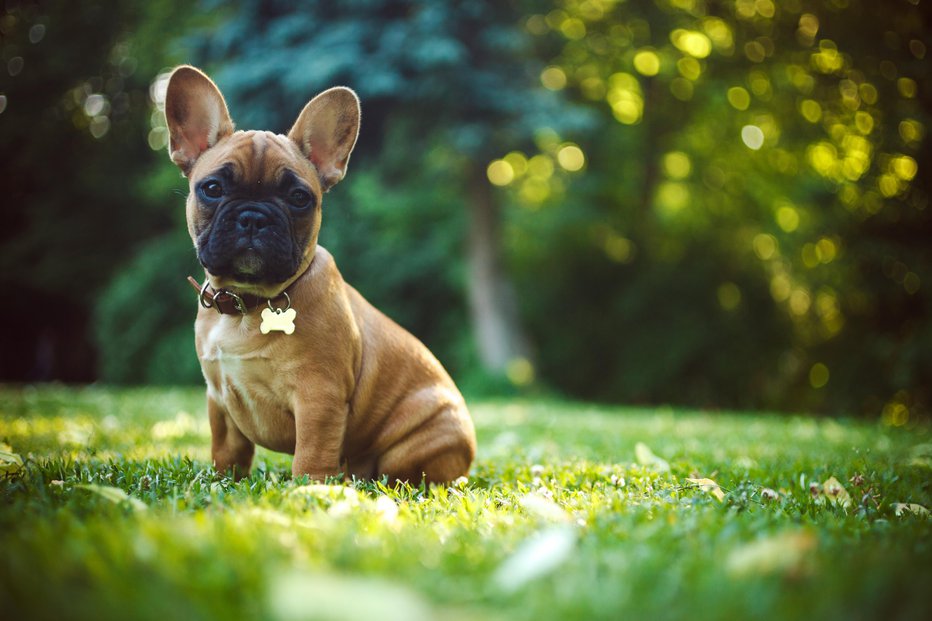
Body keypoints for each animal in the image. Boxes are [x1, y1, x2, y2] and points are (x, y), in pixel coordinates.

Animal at [163, 66, 476, 484]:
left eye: (299, 198)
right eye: (212, 188)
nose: (253, 217)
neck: (248, 303)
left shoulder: (319, 396)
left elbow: (312, 449)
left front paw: (309, 489)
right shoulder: (219, 399)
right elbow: (227, 448)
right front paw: (223, 481)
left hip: (419, 442)